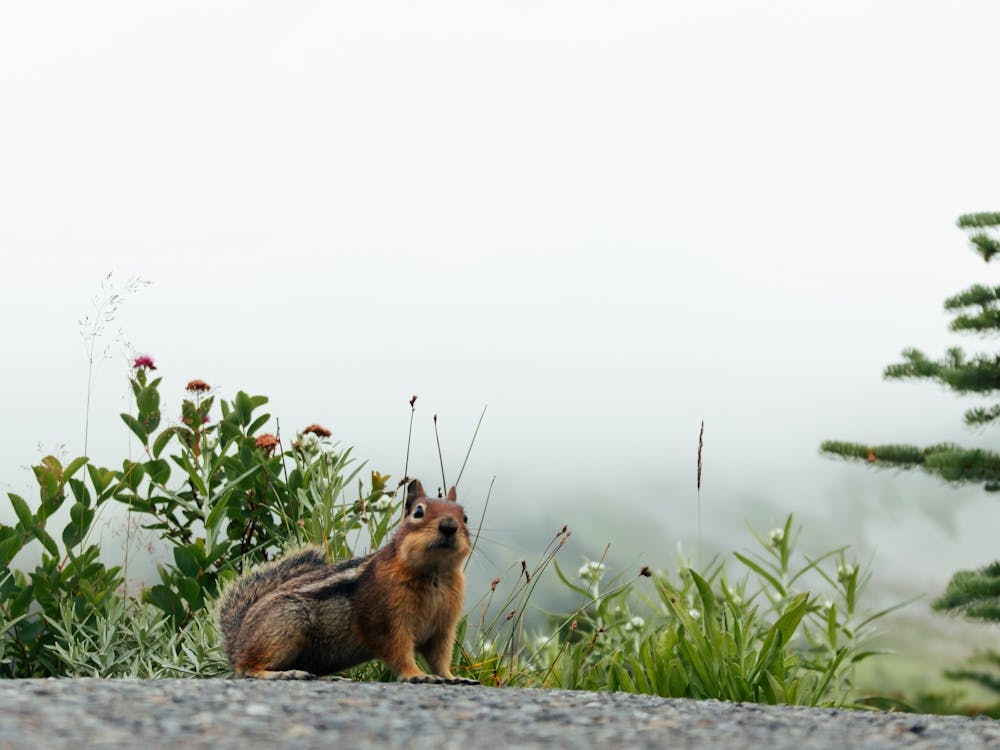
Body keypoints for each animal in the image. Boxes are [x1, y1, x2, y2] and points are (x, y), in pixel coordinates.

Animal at [215, 478, 478, 684]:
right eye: (419, 512)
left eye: (465, 517)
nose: (449, 526)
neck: (435, 574)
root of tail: (237, 640)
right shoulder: (386, 620)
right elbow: (399, 650)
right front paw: (417, 674)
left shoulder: (443, 627)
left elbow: (440, 657)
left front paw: (453, 677)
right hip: (285, 623)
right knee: (246, 667)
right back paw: (284, 673)